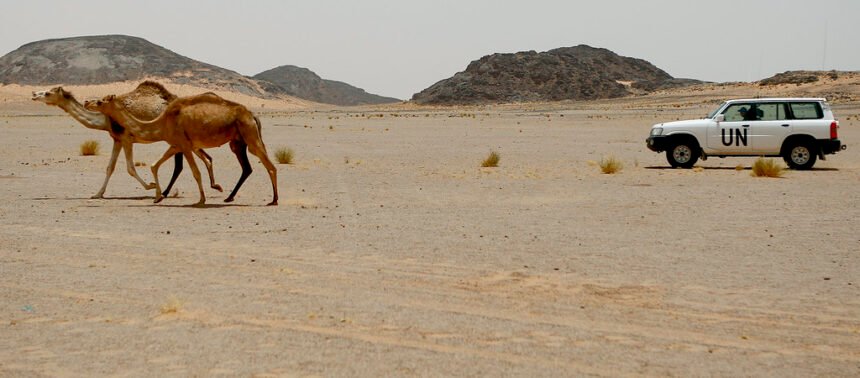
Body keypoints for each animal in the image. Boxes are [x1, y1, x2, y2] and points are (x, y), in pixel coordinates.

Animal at [32, 82, 222, 198]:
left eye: (47, 92)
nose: (34, 94)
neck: (106, 119)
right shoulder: (117, 139)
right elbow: (110, 168)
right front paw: (98, 194)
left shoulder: (126, 138)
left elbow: (130, 168)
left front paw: (151, 186)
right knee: (204, 157)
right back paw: (212, 185)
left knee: (180, 165)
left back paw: (167, 192)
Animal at [88, 93, 278, 208]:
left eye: (100, 101)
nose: (87, 101)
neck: (162, 122)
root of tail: (252, 115)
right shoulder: (176, 145)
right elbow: (154, 165)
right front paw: (157, 196)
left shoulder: (185, 145)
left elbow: (196, 172)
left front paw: (201, 200)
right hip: (238, 141)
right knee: (250, 167)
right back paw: (230, 197)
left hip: (250, 135)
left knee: (270, 166)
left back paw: (274, 200)